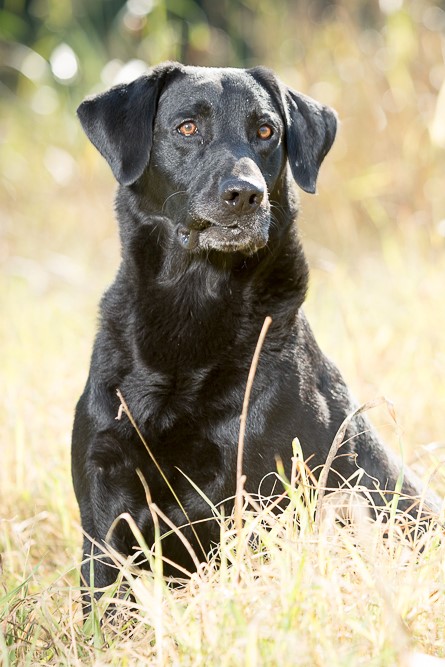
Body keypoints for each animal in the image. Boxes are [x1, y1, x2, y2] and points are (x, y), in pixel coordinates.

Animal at [72, 62, 438, 604]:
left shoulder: (258, 494)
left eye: (266, 132)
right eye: (187, 127)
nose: (246, 194)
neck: (193, 309)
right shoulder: (105, 499)